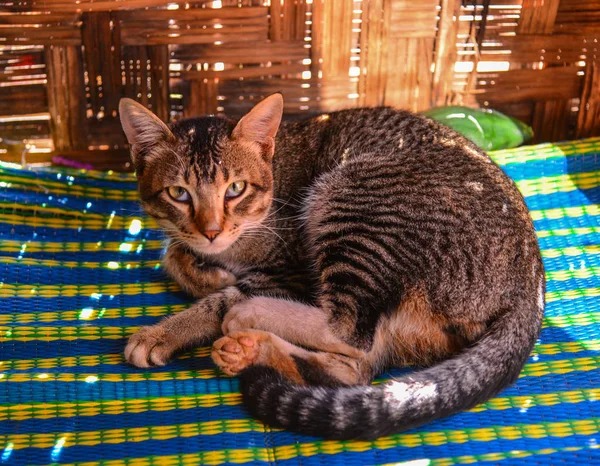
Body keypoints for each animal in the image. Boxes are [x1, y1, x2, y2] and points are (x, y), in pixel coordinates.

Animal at [119, 93, 548, 440]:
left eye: (235, 190)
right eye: (179, 193)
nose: (211, 231)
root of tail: (532, 280)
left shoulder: (288, 269)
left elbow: (217, 300)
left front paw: (164, 332)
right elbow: (173, 254)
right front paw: (202, 272)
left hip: (353, 208)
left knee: (347, 331)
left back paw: (250, 318)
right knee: (357, 370)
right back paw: (251, 350)